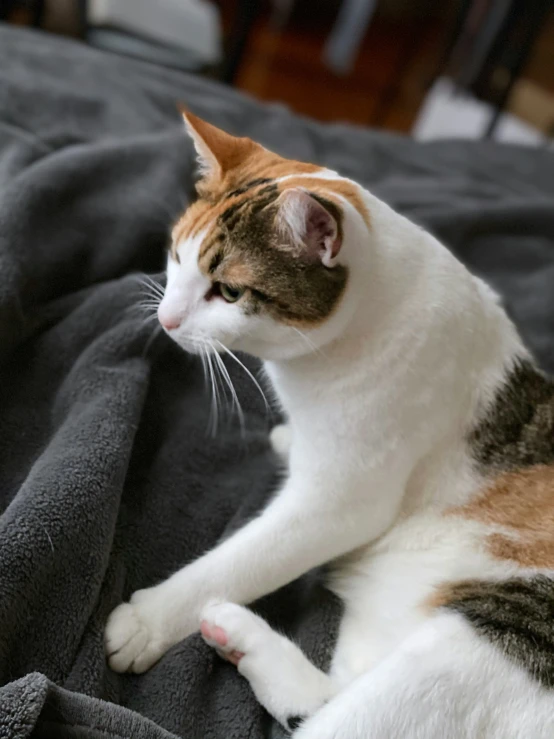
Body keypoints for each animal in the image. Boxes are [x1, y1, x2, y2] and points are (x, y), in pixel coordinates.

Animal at [104, 111, 552, 739]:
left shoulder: (338, 505)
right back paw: (239, 637)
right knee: (328, 695)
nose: (166, 320)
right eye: (174, 255)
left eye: (230, 291)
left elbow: (240, 560)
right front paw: (289, 440)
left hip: (495, 638)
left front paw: (147, 620)